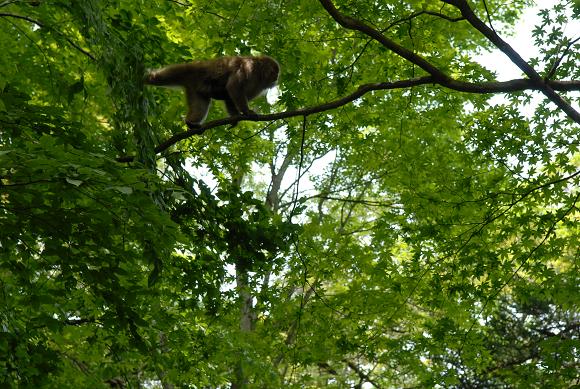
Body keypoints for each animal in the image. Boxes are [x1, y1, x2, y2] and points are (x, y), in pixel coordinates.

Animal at [146, 55, 280, 127]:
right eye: (275, 72)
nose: (277, 78)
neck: (259, 72)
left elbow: (229, 97)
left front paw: (235, 117)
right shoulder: (249, 67)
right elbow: (234, 86)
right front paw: (247, 112)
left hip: (195, 89)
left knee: (201, 105)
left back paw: (191, 123)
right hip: (191, 70)